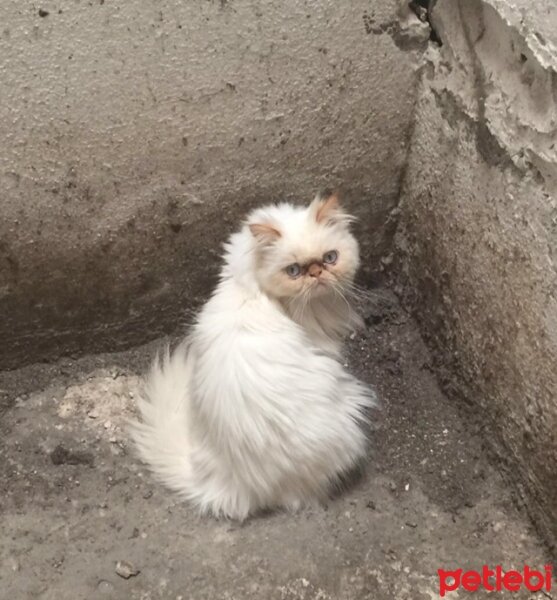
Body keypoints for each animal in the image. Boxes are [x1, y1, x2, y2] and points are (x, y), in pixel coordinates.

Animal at [130, 193, 374, 520]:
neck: (248, 283)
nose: (316, 273)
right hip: (351, 412)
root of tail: (232, 484)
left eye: (330, 258)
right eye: (293, 271)